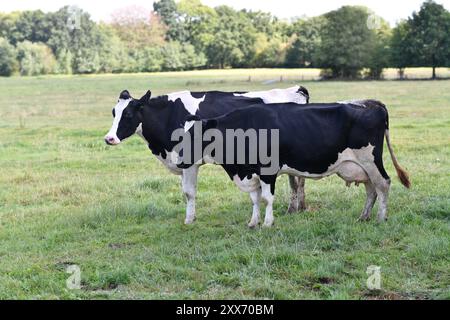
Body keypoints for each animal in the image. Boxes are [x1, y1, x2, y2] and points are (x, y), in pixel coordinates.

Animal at [104, 86, 312, 224]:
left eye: (128, 114)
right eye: (114, 112)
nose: (109, 138)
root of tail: (296, 89)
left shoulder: (189, 161)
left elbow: (189, 192)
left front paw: (189, 220)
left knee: (297, 180)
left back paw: (294, 208)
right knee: (297, 179)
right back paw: (299, 207)